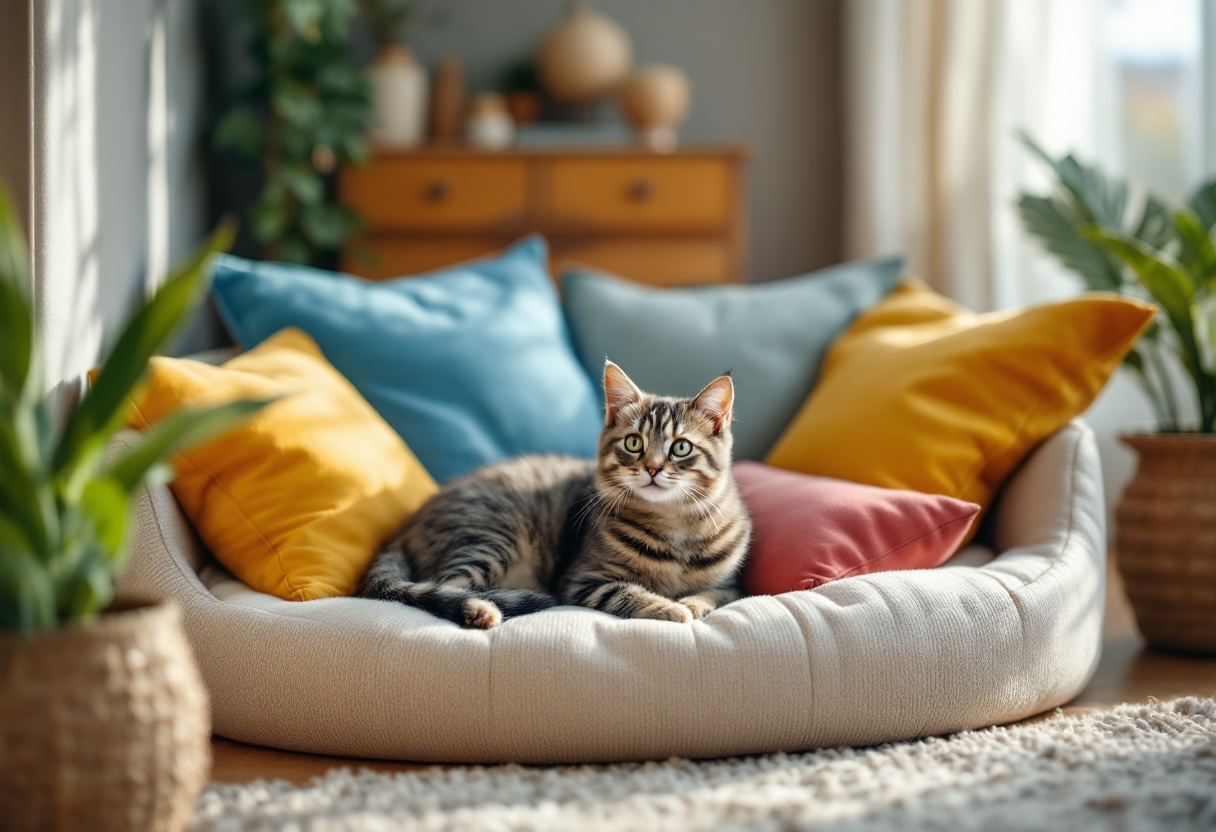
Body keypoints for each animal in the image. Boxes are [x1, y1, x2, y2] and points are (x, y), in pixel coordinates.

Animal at [357, 360, 749, 627]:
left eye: (681, 448)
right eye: (634, 443)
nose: (652, 468)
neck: (674, 526)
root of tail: (409, 524)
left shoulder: (732, 585)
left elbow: (713, 593)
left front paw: (691, 603)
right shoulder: (582, 580)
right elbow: (626, 592)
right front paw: (670, 607)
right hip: (492, 536)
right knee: (447, 585)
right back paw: (481, 608)